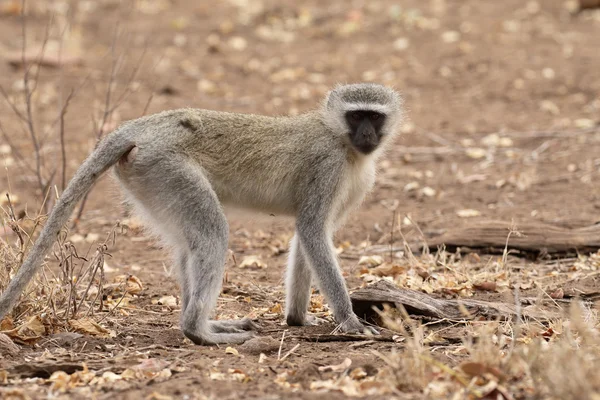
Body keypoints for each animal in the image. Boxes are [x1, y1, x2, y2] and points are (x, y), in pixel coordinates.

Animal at [1, 83, 404, 344]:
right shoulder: (328, 166)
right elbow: (312, 231)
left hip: (149, 179)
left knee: (188, 244)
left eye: (373, 117)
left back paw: (200, 323)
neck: (342, 141)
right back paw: (199, 331)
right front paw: (350, 321)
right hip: (167, 167)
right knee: (212, 233)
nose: (367, 135)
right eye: (356, 116)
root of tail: (148, 124)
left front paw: (298, 319)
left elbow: (307, 236)